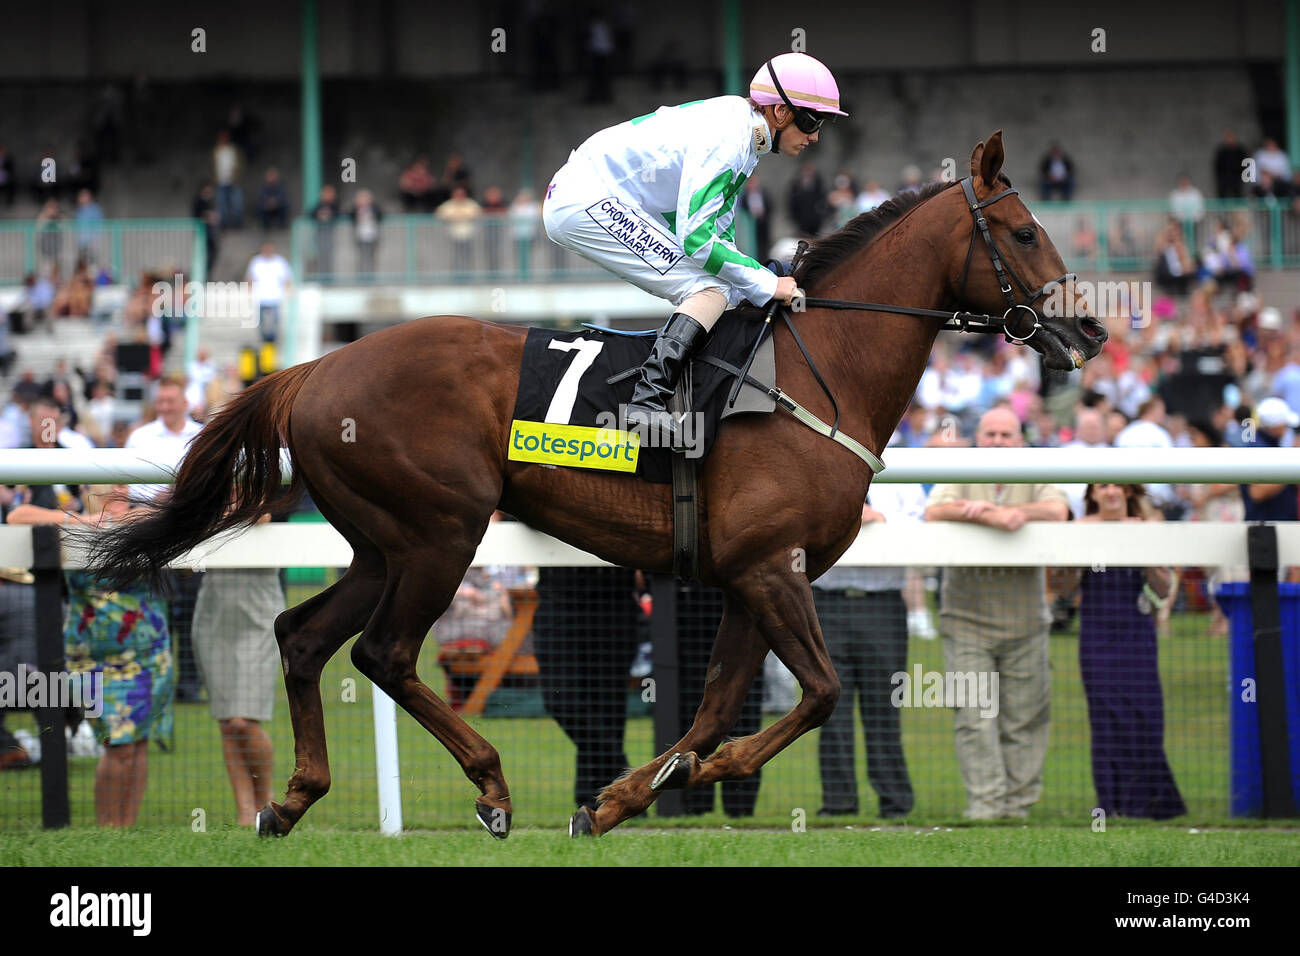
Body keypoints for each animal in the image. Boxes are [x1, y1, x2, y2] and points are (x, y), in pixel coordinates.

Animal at [89, 132, 1107, 837]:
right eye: (1025, 232)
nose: (1091, 332)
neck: (819, 372)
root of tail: (309, 368)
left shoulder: (752, 574)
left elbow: (714, 704)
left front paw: (624, 796)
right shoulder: (769, 568)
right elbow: (813, 694)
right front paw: (685, 780)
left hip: (381, 542)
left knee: (302, 638)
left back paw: (293, 799)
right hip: (439, 532)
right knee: (384, 653)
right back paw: (492, 786)